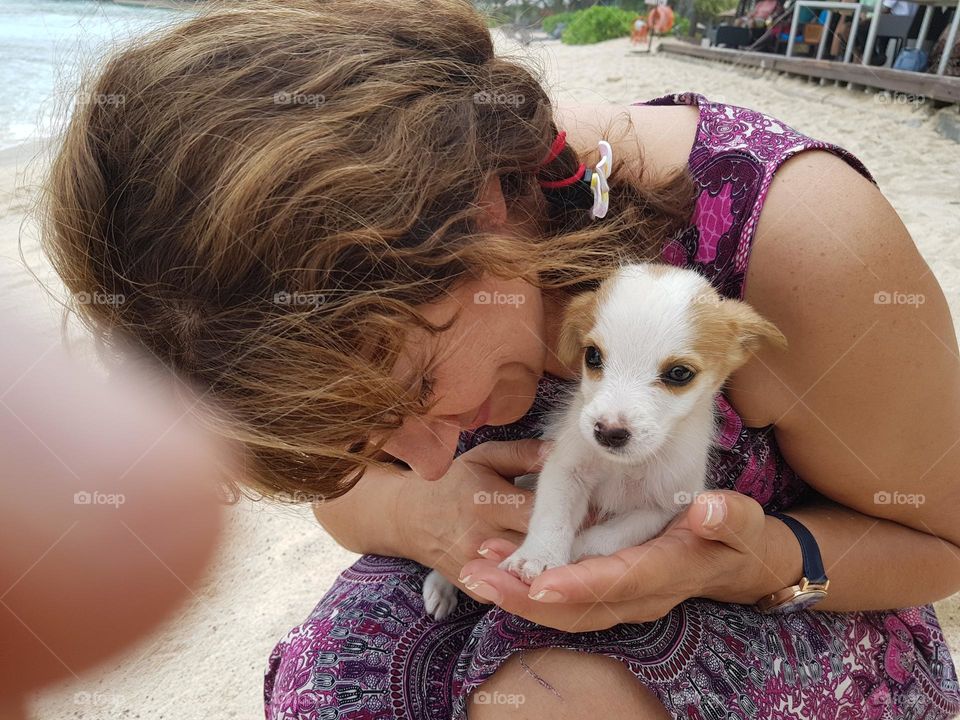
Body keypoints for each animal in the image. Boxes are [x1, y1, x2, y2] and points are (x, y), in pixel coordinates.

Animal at [422, 262, 788, 616]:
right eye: (593, 356)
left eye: (679, 373)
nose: (609, 432)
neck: (625, 467)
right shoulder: (565, 469)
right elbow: (552, 517)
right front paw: (539, 556)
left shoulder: (660, 508)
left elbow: (609, 537)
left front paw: (575, 552)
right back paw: (441, 585)